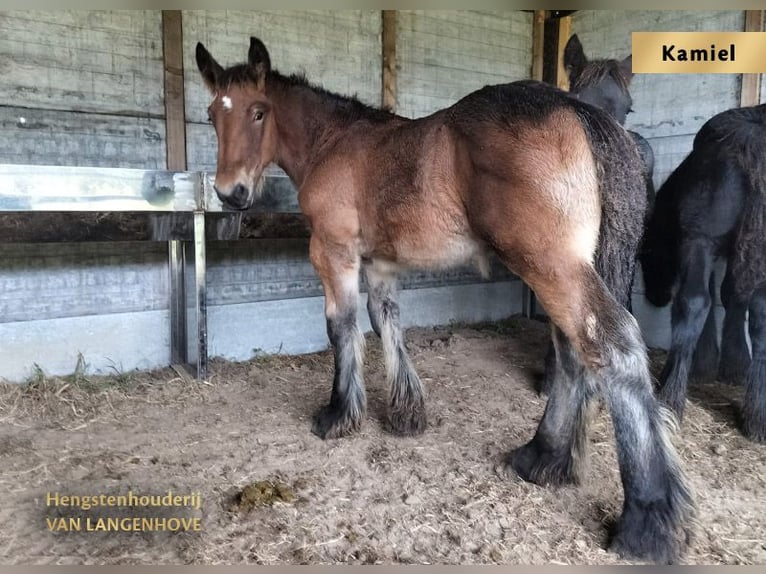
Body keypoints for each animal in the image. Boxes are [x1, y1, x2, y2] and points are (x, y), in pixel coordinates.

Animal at [196, 36, 696, 564]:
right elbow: (386, 321)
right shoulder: (381, 264)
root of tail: (579, 112)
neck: (334, 142)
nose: (231, 193)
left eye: (258, 112)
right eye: (211, 114)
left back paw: (647, 521)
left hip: (552, 266)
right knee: (570, 354)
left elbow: (342, 326)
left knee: (610, 346)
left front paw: (338, 414)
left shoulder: (332, 252)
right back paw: (542, 459)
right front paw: (405, 412)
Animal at [640, 104, 766, 446]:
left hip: (704, 240)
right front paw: (728, 365)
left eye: (648, 254)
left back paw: (671, 395)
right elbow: (730, 296)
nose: (655, 297)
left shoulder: (698, 244)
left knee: (694, 302)